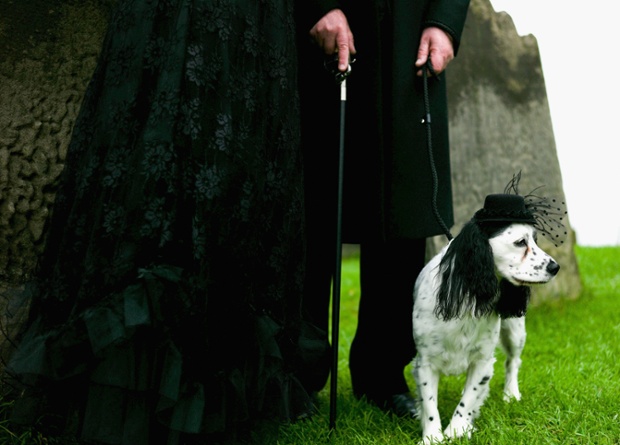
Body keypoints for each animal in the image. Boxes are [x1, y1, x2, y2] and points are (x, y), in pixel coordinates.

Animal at [412, 192, 560, 444]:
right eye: (521, 242)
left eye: (535, 240)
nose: (555, 267)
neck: (468, 293)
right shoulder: (425, 361)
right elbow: (429, 402)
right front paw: (432, 436)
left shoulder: (482, 359)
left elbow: (468, 397)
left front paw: (458, 429)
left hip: (515, 332)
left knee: (513, 362)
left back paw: (511, 394)